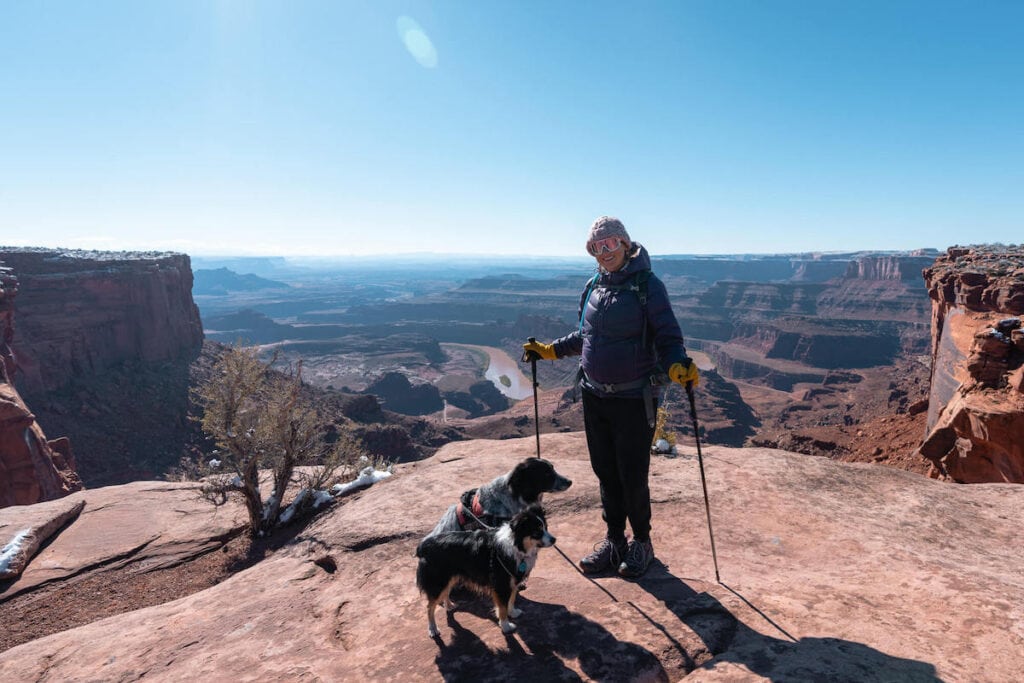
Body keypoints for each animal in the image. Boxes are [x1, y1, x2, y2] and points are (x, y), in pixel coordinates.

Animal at [415, 505, 557, 638]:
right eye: (537, 531)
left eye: (546, 527)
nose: (554, 539)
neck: (516, 545)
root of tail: (423, 546)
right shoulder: (501, 584)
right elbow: (502, 607)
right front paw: (506, 626)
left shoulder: (512, 580)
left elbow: (511, 599)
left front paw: (513, 612)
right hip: (438, 580)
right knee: (430, 607)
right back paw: (433, 629)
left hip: (450, 577)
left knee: (445, 592)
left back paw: (449, 605)